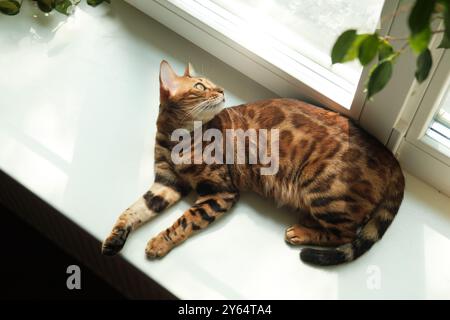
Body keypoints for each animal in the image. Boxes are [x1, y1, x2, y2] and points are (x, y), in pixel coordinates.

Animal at [101, 60, 404, 264]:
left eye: (209, 83)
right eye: (200, 86)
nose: (221, 90)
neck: (178, 140)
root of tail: (390, 156)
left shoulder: (220, 192)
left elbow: (185, 221)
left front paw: (158, 243)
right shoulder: (166, 183)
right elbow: (132, 211)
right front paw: (114, 239)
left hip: (323, 190)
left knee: (348, 233)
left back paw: (300, 232)